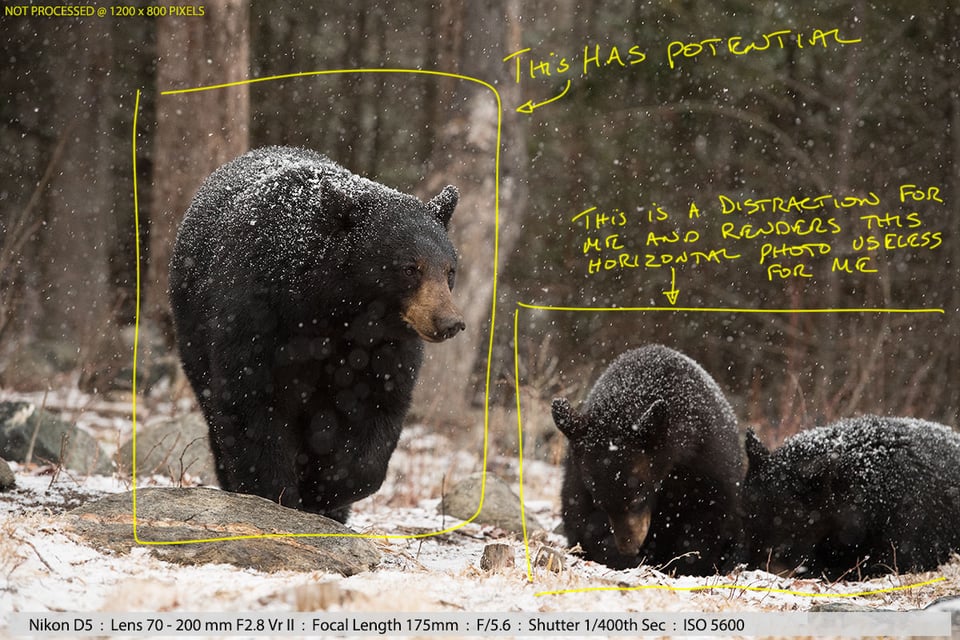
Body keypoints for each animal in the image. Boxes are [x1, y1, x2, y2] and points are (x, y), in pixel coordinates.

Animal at [170, 148, 464, 524]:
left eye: (449, 270)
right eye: (410, 268)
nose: (450, 322)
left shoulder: (386, 347)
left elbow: (378, 410)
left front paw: (325, 491)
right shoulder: (256, 314)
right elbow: (252, 402)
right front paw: (276, 493)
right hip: (192, 331)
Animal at [552, 344, 748, 576]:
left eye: (638, 499)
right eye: (600, 502)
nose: (628, 547)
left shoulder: (705, 461)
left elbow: (707, 516)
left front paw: (684, 564)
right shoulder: (579, 477)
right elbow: (584, 519)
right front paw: (625, 559)